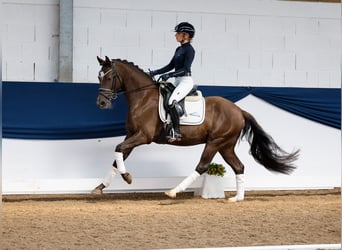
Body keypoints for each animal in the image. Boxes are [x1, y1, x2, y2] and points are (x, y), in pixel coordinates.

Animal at [91, 56, 300, 201]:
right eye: (99, 76)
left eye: (109, 77)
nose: (101, 103)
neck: (143, 98)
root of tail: (239, 110)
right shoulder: (131, 135)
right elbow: (118, 157)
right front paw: (100, 187)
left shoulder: (143, 136)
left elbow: (118, 149)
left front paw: (127, 177)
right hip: (226, 145)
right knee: (238, 166)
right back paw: (237, 198)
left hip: (215, 142)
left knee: (202, 166)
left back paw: (174, 191)